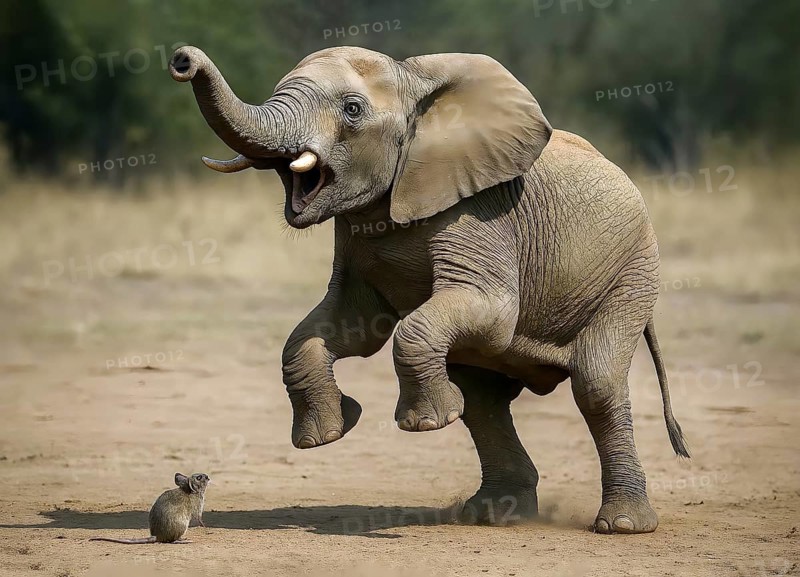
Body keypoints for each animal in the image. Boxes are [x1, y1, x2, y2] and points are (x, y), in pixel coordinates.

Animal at [169, 45, 689, 534]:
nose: (182, 60)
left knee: (596, 384)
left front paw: (421, 425)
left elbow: (488, 312)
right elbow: (349, 329)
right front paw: (325, 435)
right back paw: (493, 513)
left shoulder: (481, 211)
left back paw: (621, 525)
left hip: (633, 272)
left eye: (353, 109)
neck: (413, 83)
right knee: (482, 399)